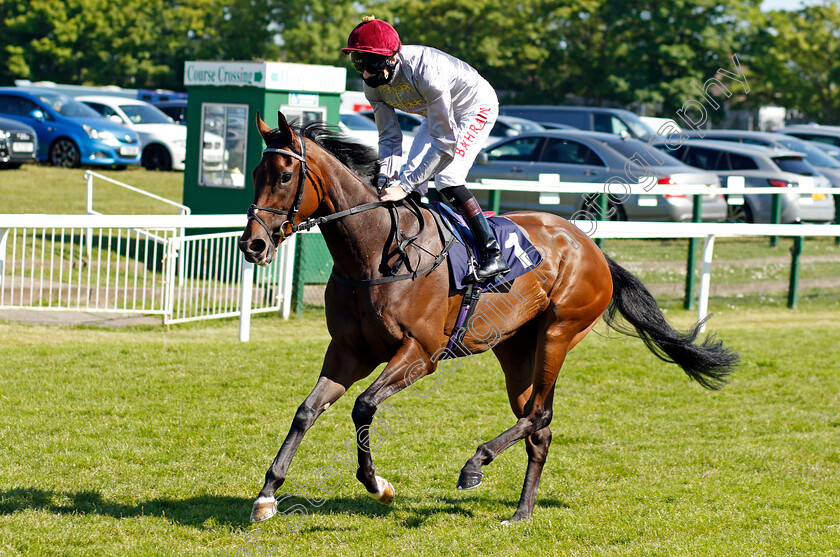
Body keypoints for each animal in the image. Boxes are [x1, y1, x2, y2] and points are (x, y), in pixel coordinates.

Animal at [236, 112, 736, 520]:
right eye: (256, 173)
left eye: (285, 175)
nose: (253, 244)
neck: (376, 254)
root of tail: (590, 246)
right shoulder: (348, 351)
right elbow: (306, 411)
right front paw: (267, 495)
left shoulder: (420, 354)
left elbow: (364, 405)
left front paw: (378, 484)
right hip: (516, 350)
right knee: (538, 425)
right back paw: (521, 512)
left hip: (559, 332)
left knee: (540, 414)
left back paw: (475, 465)